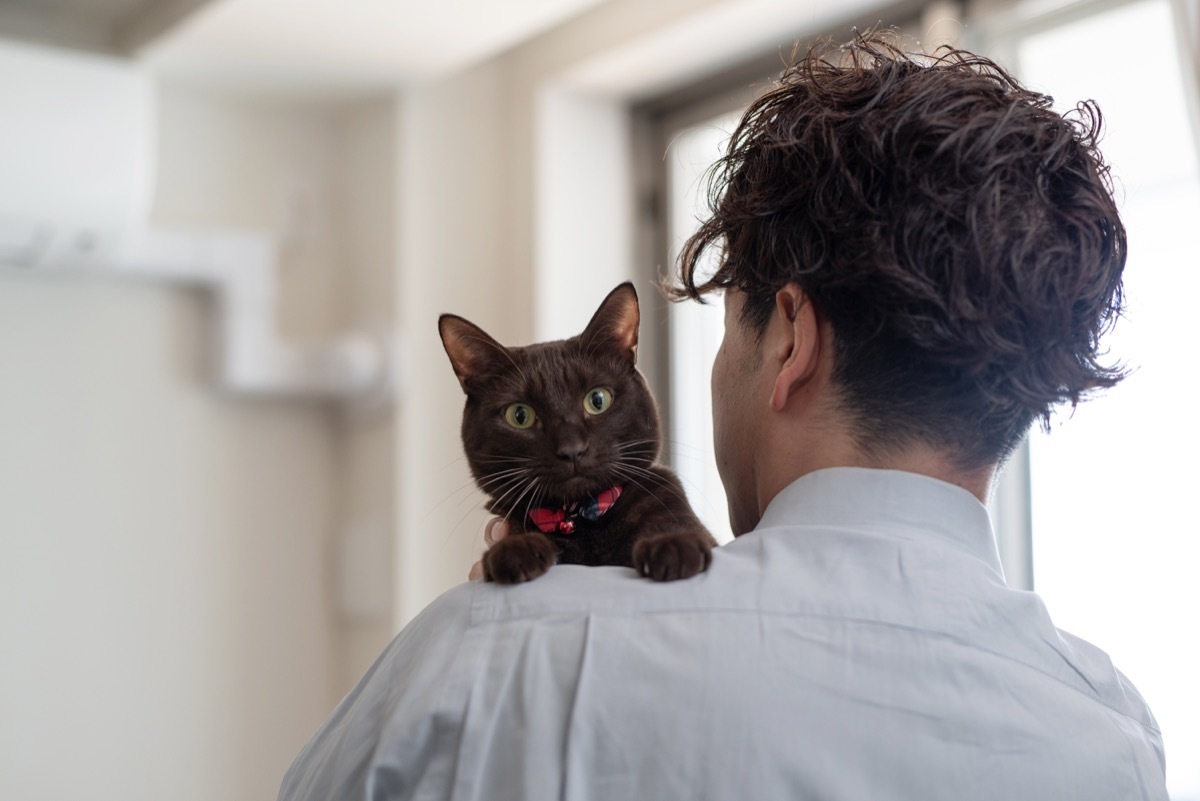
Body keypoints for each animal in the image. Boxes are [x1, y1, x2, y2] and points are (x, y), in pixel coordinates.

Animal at [446, 284, 715, 585]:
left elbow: (672, 525)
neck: (579, 517)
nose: (571, 449)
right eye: (520, 415)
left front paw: (673, 544)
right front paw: (514, 550)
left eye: (598, 400)